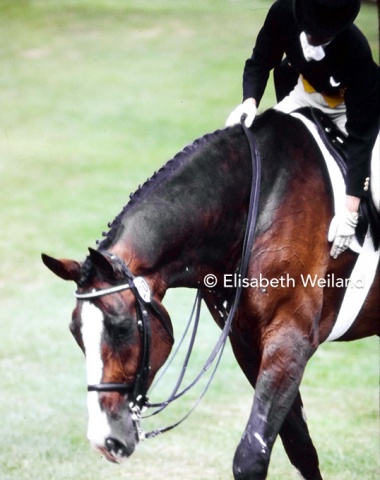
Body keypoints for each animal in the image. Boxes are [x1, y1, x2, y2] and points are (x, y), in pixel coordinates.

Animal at [43, 109, 378, 480]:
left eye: (122, 328)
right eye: (76, 332)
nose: (106, 441)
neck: (260, 204)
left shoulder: (290, 339)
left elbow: (251, 457)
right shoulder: (247, 343)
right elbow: (300, 447)